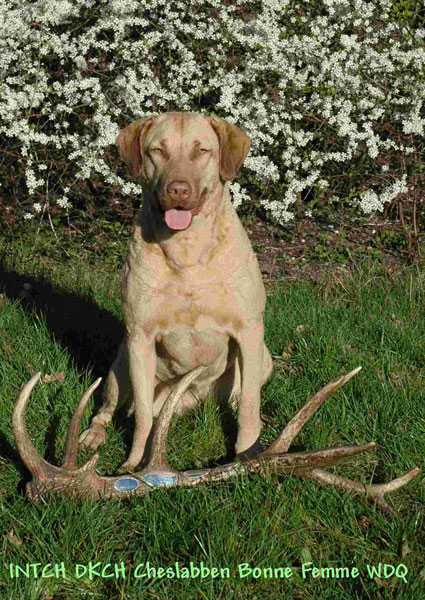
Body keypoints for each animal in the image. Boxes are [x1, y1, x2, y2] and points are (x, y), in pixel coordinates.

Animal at [79, 110, 272, 472]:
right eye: (158, 151)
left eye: (202, 151)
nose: (178, 190)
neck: (187, 251)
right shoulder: (140, 337)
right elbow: (141, 415)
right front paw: (133, 464)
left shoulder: (249, 330)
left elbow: (250, 403)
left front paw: (248, 454)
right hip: (121, 363)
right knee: (112, 407)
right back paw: (94, 434)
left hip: (262, 359)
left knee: (234, 394)